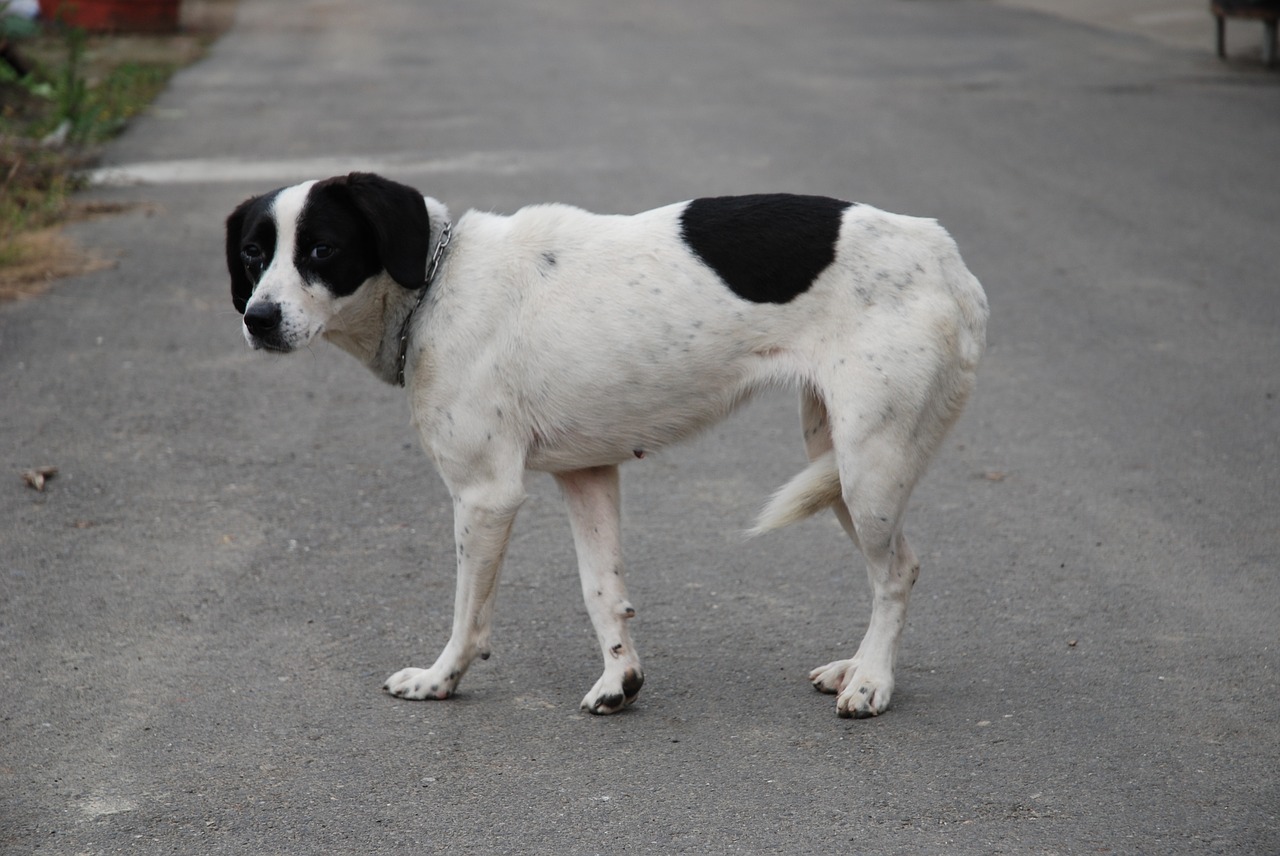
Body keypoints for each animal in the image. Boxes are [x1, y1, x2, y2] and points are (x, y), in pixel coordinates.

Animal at [227, 174, 988, 716]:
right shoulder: (587, 474)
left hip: (868, 468)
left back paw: (872, 682)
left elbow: (468, 615)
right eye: (254, 254)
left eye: (322, 249)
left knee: (897, 572)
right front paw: (621, 679)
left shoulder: (485, 497)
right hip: (833, 462)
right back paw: (853, 667)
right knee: (891, 568)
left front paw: (440, 680)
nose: (257, 320)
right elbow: (603, 591)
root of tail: (944, 255)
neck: (437, 284)